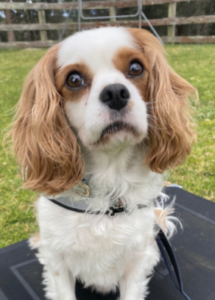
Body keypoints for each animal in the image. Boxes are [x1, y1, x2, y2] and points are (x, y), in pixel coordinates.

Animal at [9, 27, 197, 298]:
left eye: (136, 68)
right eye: (74, 80)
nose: (115, 92)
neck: (110, 179)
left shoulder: (137, 259)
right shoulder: (57, 260)